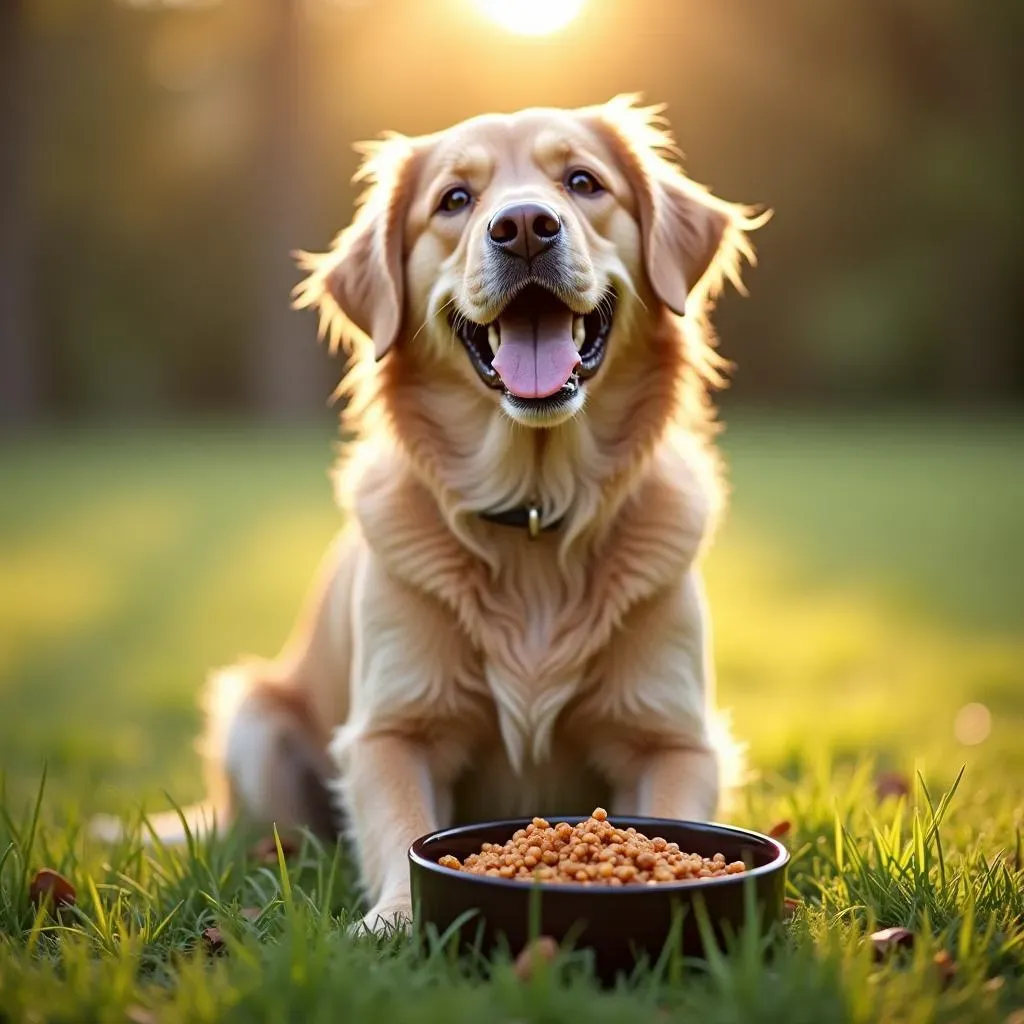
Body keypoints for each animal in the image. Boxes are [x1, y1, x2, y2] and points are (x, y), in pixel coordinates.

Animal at [94, 96, 770, 937]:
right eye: (454, 199)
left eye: (583, 182)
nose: (524, 227)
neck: (537, 515)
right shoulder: (390, 730)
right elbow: (400, 825)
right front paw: (392, 920)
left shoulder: (673, 736)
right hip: (254, 714)